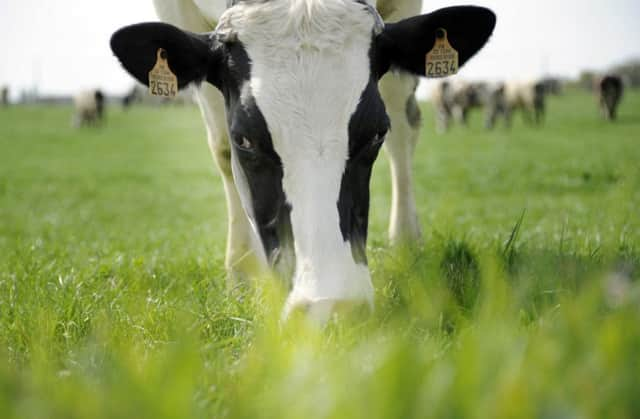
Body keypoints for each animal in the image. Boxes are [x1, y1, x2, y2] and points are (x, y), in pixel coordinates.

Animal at [112, 0, 498, 322]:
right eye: (244, 139)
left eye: (376, 132)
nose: (330, 307)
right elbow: (220, 146)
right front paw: (242, 272)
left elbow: (400, 123)